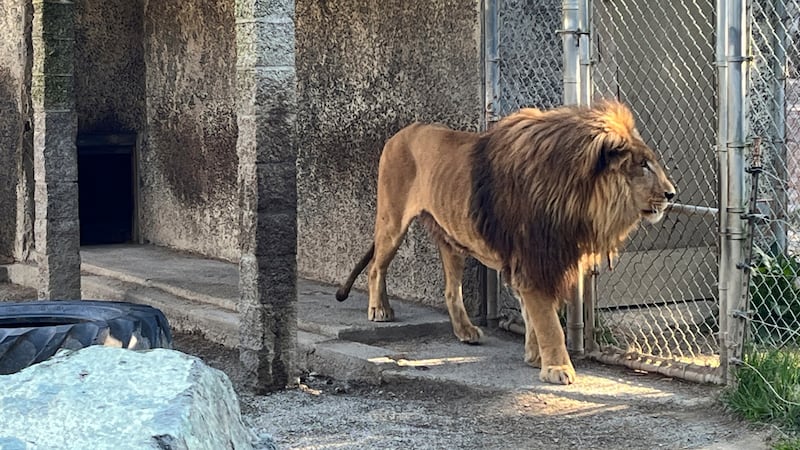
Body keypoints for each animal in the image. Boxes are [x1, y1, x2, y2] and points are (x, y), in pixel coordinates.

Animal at [335, 101, 676, 385]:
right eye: (643, 165)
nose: (672, 194)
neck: (577, 198)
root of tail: (403, 132)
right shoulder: (534, 258)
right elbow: (548, 321)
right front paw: (557, 368)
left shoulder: (541, 259)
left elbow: (533, 314)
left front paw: (535, 356)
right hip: (392, 222)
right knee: (376, 267)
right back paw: (380, 309)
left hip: (451, 238)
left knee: (451, 290)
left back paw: (466, 331)